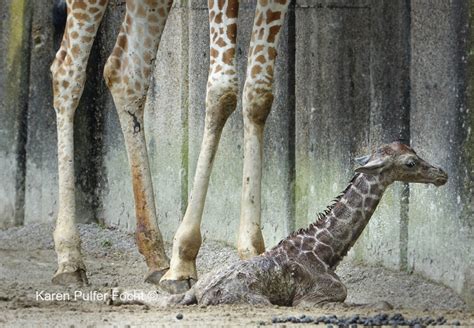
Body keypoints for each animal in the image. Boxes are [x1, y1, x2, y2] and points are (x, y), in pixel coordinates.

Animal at [111, 142, 448, 308]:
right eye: (410, 163)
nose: (442, 174)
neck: (325, 252)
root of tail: (202, 292)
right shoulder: (315, 299)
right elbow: (361, 303)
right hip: (257, 301)